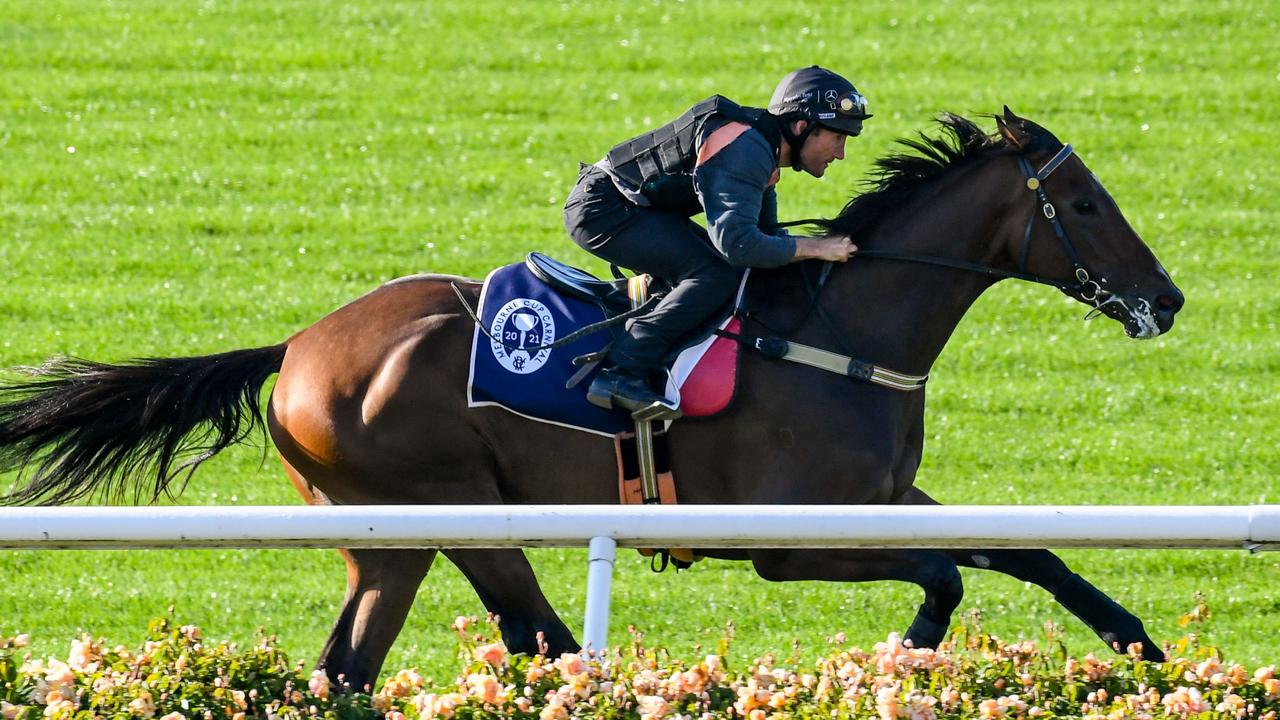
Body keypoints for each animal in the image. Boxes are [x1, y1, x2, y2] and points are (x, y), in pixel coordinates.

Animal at [0, 105, 1182, 681]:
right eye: (1083, 202)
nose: (1165, 300)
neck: (839, 333)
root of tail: (295, 346)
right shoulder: (783, 541)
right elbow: (939, 579)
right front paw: (910, 656)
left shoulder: (882, 503)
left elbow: (1027, 553)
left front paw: (1138, 644)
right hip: (450, 509)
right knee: (536, 642)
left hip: (386, 537)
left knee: (352, 669)